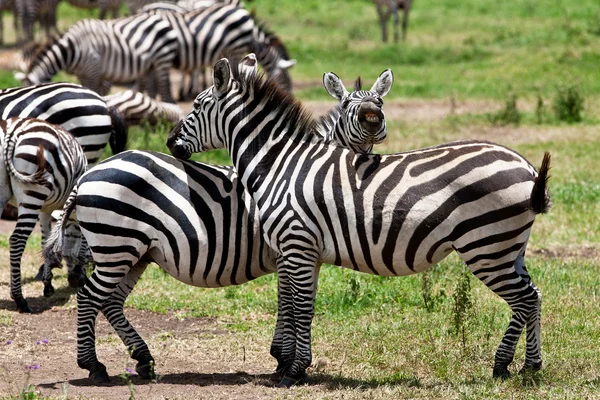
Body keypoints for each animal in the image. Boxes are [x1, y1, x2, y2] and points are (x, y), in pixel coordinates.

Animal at [0, 117, 88, 314]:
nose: (75, 280)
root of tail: (12, 129)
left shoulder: (45, 210)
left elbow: (47, 241)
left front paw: (48, 284)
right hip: (33, 193)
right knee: (16, 240)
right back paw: (20, 300)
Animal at [15, 13, 179, 102]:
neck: (71, 49)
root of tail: (161, 19)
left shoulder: (92, 70)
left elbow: (94, 91)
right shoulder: (82, 74)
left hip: (162, 60)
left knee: (165, 91)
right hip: (148, 66)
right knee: (151, 88)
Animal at [44, 62, 392, 384]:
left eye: (380, 102)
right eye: (346, 106)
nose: (372, 119)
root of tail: (89, 173)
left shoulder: (302, 252)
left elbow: (293, 300)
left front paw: (283, 359)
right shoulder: (287, 251)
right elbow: (287, 301)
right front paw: (283, 359)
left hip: (134, 252)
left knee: (111, 301)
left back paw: (143, 359)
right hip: (116, 246)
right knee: (89, 296)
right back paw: (94, 366)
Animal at [166, 54, 552, 386]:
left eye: (196, 106)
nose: (169, 142)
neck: (279, 164)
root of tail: (526, 165)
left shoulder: (295, 243)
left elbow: (299, 306)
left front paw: (294, 371)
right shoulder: (302, 252)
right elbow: (296, 304)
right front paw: (291, 364)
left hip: (486, 246)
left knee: (524, 299)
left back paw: (508, 366)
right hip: (509, 248)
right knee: (533, 295)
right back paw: (526, 366)